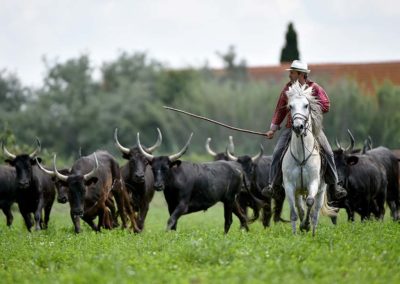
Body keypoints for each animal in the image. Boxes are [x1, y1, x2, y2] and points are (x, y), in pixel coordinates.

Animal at [282, 81, 338, 236]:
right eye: (290, 106)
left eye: (306, 105)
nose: (298, 127)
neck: (301, 156)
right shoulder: (289, 186)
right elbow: (294, 212)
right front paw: (296, 232)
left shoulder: (313, 182)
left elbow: (310, 203)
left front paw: (306, 225)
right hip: (298, 191)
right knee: (300, 207)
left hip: (321, 190)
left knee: (315, 212)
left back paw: (312, 231)